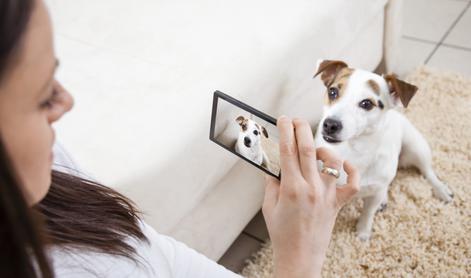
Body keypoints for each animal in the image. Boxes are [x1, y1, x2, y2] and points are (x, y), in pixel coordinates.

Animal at [314, 59, 454, 240]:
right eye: (332, 92)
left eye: (366, 103)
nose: (330, 124)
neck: (354, 150)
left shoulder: (373, 194)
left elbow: (367, 213)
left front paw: (363, 232)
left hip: (416, 147)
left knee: (427, 171)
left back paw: (441, 189)